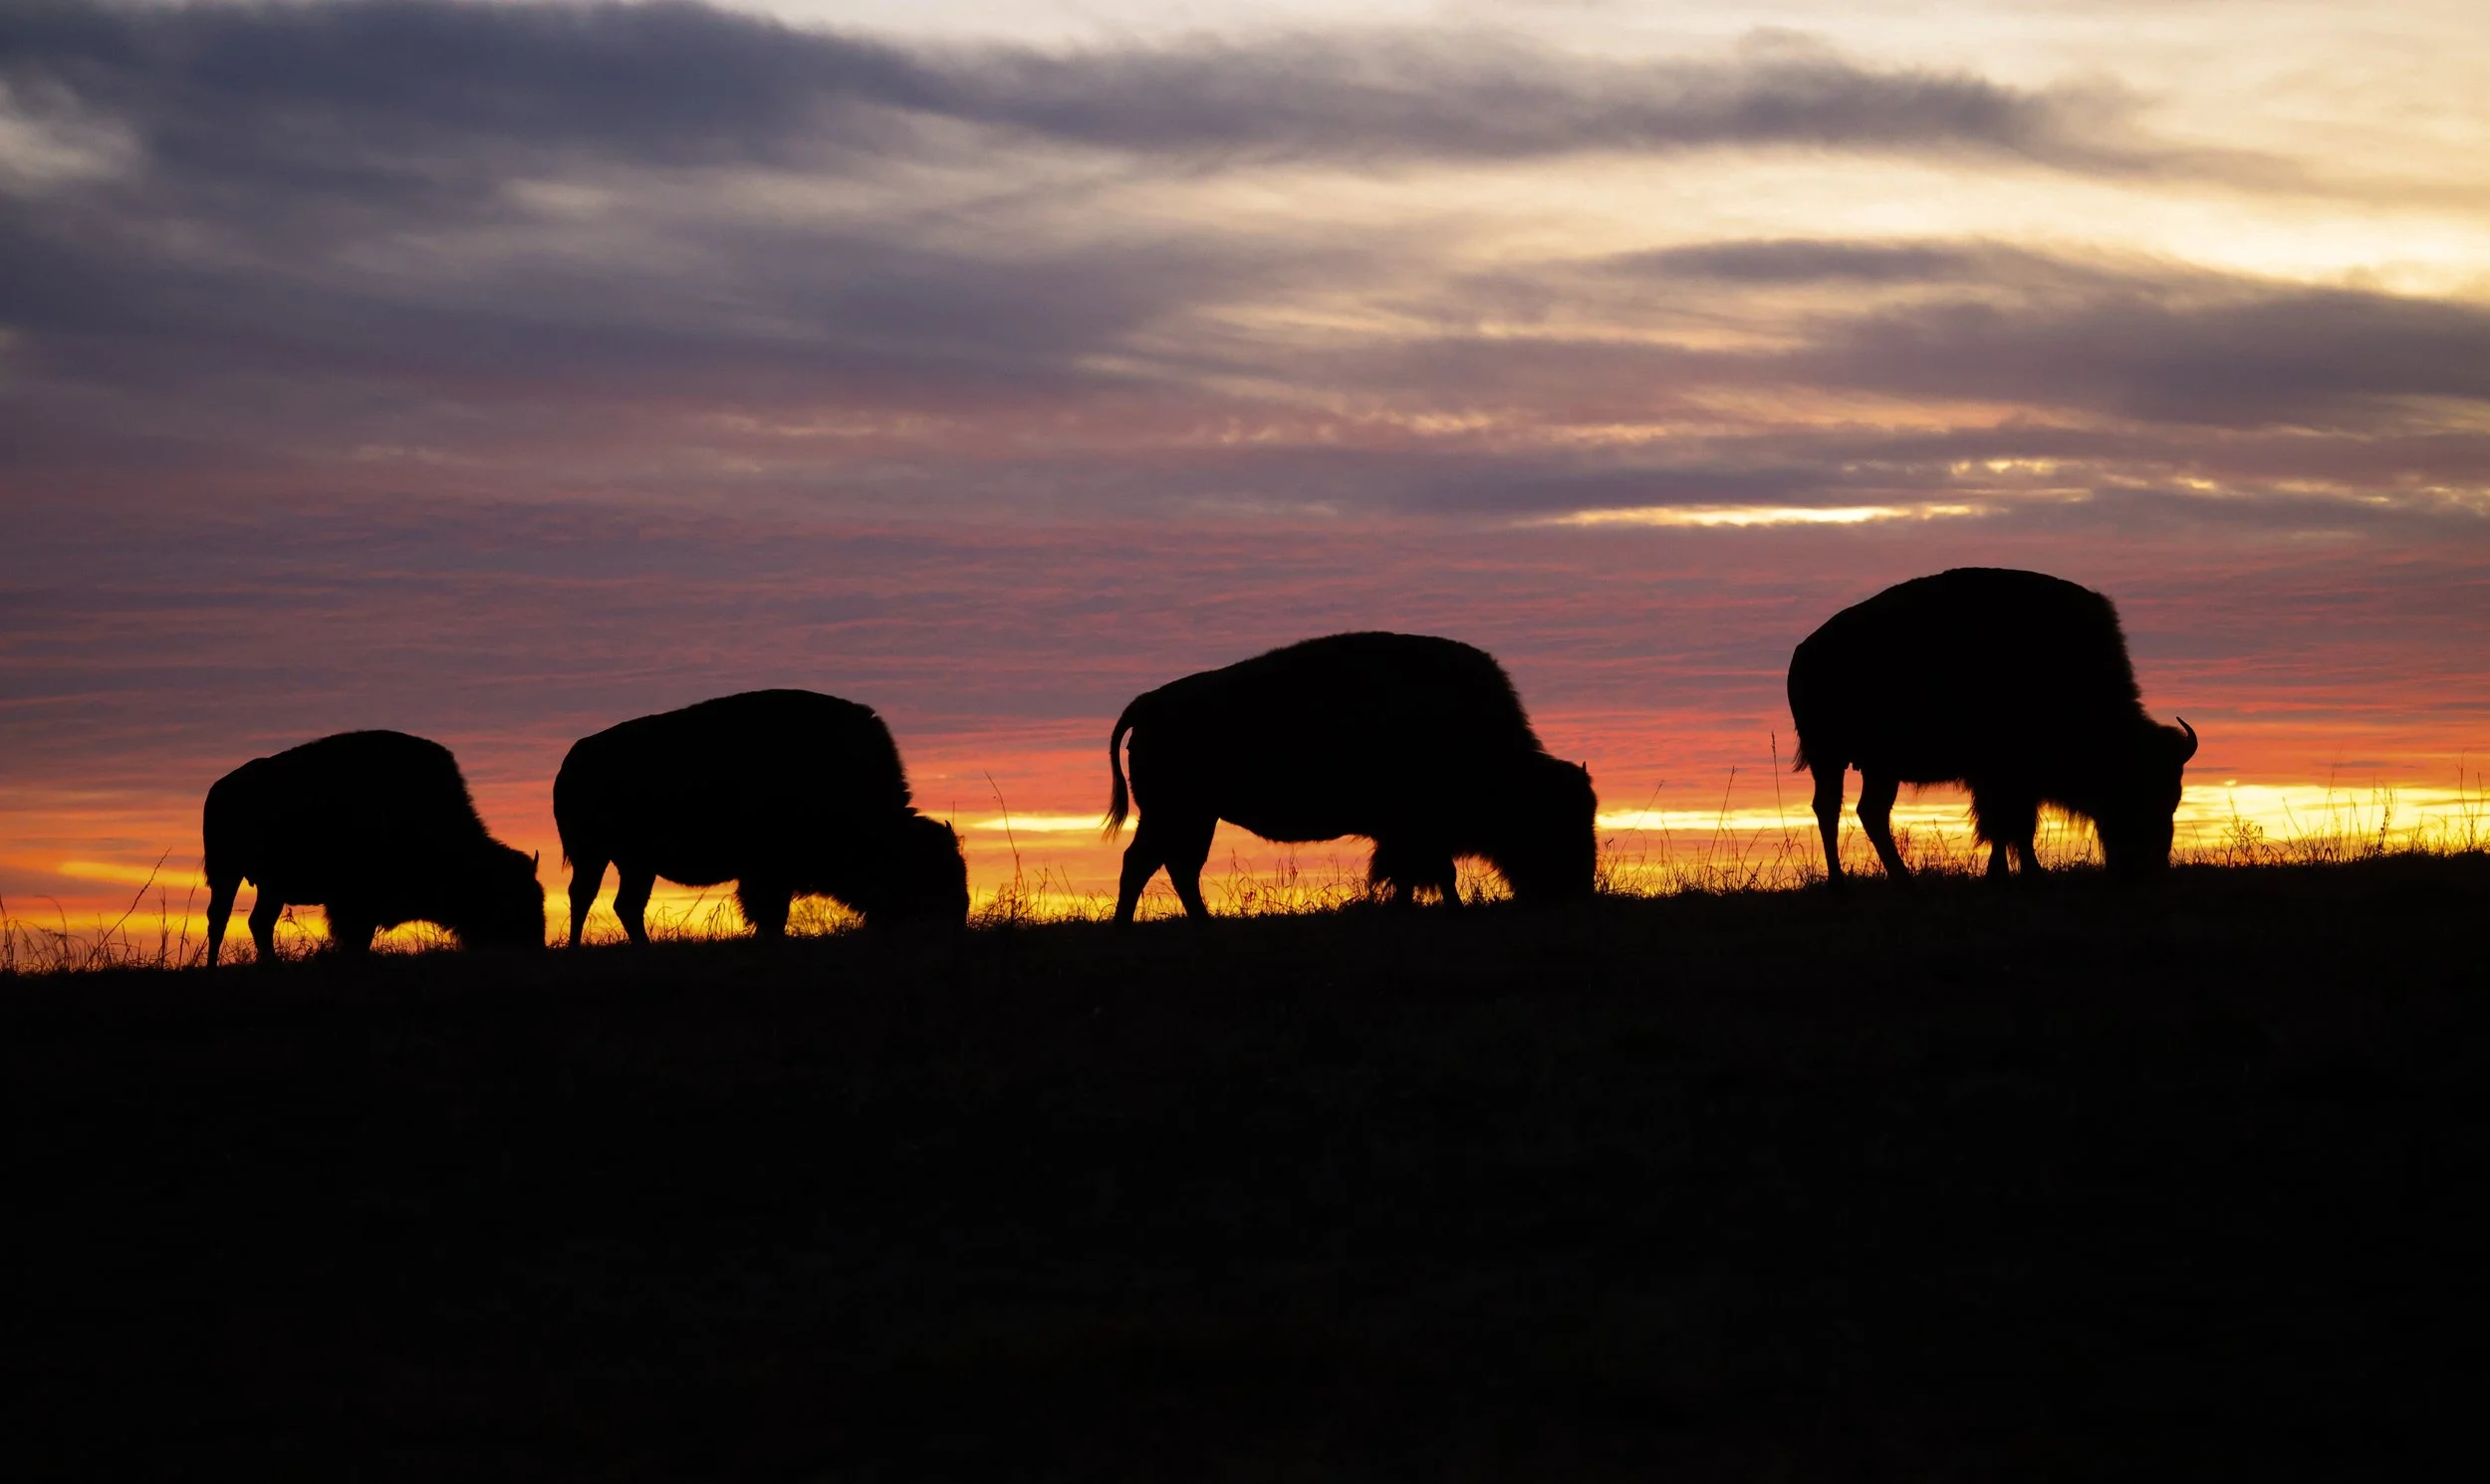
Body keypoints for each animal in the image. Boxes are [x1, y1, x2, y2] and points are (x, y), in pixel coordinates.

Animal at [203, 730, 545, 964]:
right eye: (510, 900)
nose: (534, 946)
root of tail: (219, 788)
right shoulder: (353, 906)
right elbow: (355, 940)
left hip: (271, 887)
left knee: (258, 923)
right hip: (226, 875)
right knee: (219, 919)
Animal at [553, 689, 968, 943]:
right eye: (927, 872)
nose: (956, 919)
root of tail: (572, 760)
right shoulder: (768, 874)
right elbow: (771, 915)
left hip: (636, 864)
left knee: (626, 905)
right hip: (594, 855)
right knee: (584, 896)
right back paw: (575, 949)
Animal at [1105, 631, 1597, 922]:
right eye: (1551, 822)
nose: (1577, 892)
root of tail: (1149, 703)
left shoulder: (1408, 834)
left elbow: (1418, 875)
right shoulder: (1415, 830)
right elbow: (1434, 872)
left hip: (1188, 817)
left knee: (1167, 865)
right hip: (1178, 815)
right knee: (1151, 864)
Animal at [1787, 567, 2199, 882]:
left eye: (2174, 797)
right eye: (2133, 786)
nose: (2149, 863)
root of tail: (1804, 651)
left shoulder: (2016, 779)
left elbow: (2015, 826)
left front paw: (2016, 871)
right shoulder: (1999, 775)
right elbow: (2007, 824)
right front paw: (2018, 873)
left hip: (1878, 767)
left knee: (1868, 812)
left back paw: (1900, 878)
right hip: (1830, 758)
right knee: (1830, 809)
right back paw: (1840, 882)